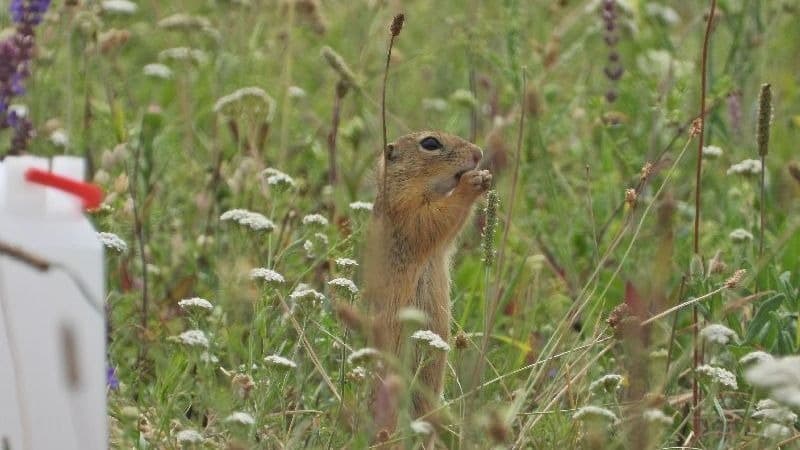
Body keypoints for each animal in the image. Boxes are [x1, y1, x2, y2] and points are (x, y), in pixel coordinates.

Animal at [360, 130, 488, 432]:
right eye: (430, 143)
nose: (478, 153)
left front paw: (484, 177)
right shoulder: (408, 213)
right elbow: (435, 219)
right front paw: (471, 183)